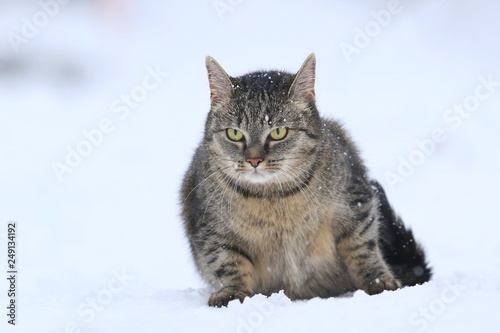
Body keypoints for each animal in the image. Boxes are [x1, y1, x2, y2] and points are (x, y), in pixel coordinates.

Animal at [180, 52, 430, 306]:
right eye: (234, 134)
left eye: (278, 132)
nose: (254, 160)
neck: (272, 197)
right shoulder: (210, 228)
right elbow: (228, 262)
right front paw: (232, 292)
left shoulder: (356, 201)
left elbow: (362, 247)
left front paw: (378, 281)